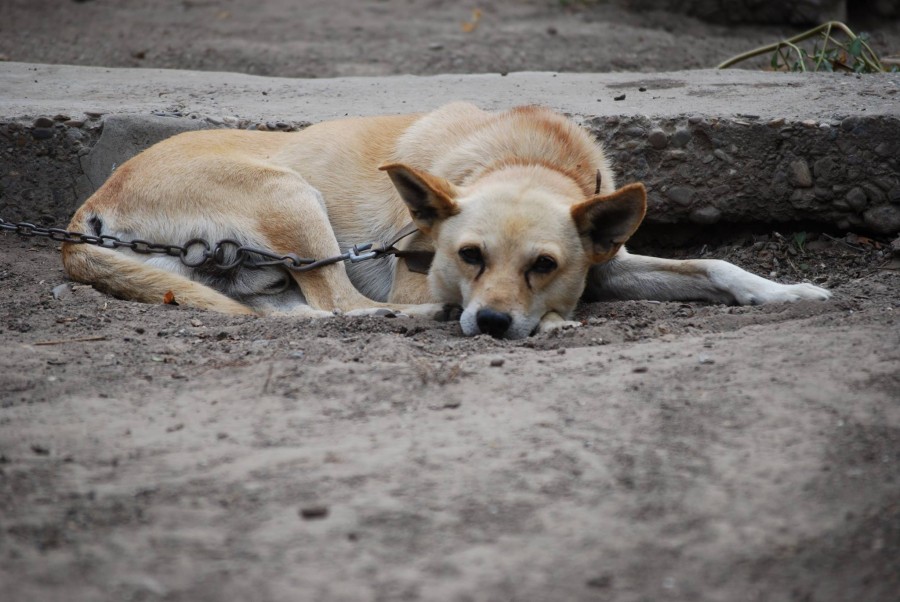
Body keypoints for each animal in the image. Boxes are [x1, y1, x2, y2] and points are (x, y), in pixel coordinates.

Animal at [61, 103, 828, 338]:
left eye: (545, 265)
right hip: (290, 194)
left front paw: (786, 292)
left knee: (305, 311)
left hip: (262, 267)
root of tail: (88, 207)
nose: (488, 323)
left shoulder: (604, 262)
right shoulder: (419, 277)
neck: (525, 156)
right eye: (468, 256)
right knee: (342, 306)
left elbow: (714, 264)